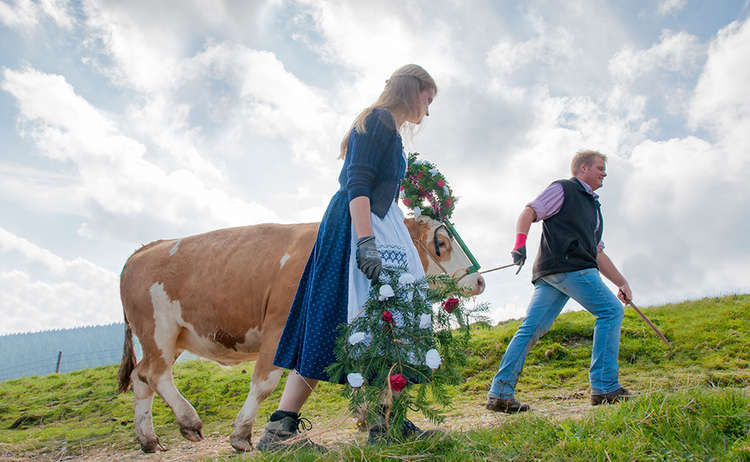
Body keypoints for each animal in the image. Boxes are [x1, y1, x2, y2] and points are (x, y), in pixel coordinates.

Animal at [114, 217, 484, 452]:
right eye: (441, 243)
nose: (479, 280)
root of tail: (144, 249)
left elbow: (373, 375)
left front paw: (380, 423)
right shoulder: (281, 327)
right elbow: (265, 383)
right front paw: (243, 434)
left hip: (169, 338)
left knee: (141, 378)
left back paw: (148, 440)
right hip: (158, 329)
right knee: (154, 374)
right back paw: (189, 420)